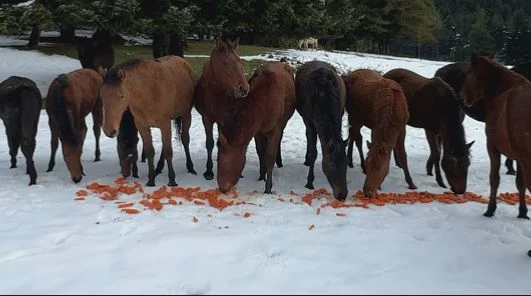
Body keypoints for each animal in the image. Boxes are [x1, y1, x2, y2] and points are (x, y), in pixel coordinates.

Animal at [101, 55, 196, 187]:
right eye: (102, 96)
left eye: (121, 96)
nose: (109, 131)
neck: (148, 93)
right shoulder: (142, 126)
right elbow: (150, 151)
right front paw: (151, 180)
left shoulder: (165, 123)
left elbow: (169, 151)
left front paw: (172, 180)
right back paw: (158, 168)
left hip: (186, 115)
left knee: (185, 140)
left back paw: (190, 167)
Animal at [217, 61, 300, 194]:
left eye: (221, 161)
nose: (222, 187)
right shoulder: (257, 132)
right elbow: (260, 152)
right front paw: (262, 176)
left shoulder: (274, 130)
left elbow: (270, 157)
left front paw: (268, 188)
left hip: (283, 122)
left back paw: (279, 161)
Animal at [296, 60, 350, 201]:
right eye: (331, 164)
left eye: (346, 162)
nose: (342, 195)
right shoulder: (309, 120)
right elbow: (313, 153)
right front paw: (309, 182)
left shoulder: (340, 115)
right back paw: (306, 160)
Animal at [344, 69, 420, 197]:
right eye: (368, 163)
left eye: (380, 167)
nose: (367, 192)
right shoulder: (375, 127)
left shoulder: (402, 128)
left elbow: (403, 155)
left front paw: (411, 183)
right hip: (354, 116)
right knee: (357, 138)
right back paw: (355, 163)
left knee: (352, 135)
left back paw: (349, 160)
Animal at [462, 54, 531, 219]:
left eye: (468, 74)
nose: (462, 95)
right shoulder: (519, 158)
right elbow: (520, 184)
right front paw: (523, 212)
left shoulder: (492, 147)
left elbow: (494, 179)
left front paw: (490, 209)